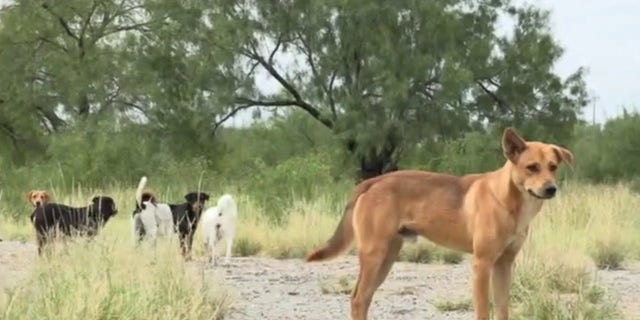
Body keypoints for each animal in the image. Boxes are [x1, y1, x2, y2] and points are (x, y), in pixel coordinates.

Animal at [304, 128, 576, 320]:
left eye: (553, 167)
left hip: (386, 259)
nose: (551, 188)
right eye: (532, 167)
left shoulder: (504, 265)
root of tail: (373, 181)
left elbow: (502, 310)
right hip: (374, 255)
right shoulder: (482, 264)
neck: (509, 200)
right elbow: (483, 311)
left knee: (364, 298)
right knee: (358, 299)